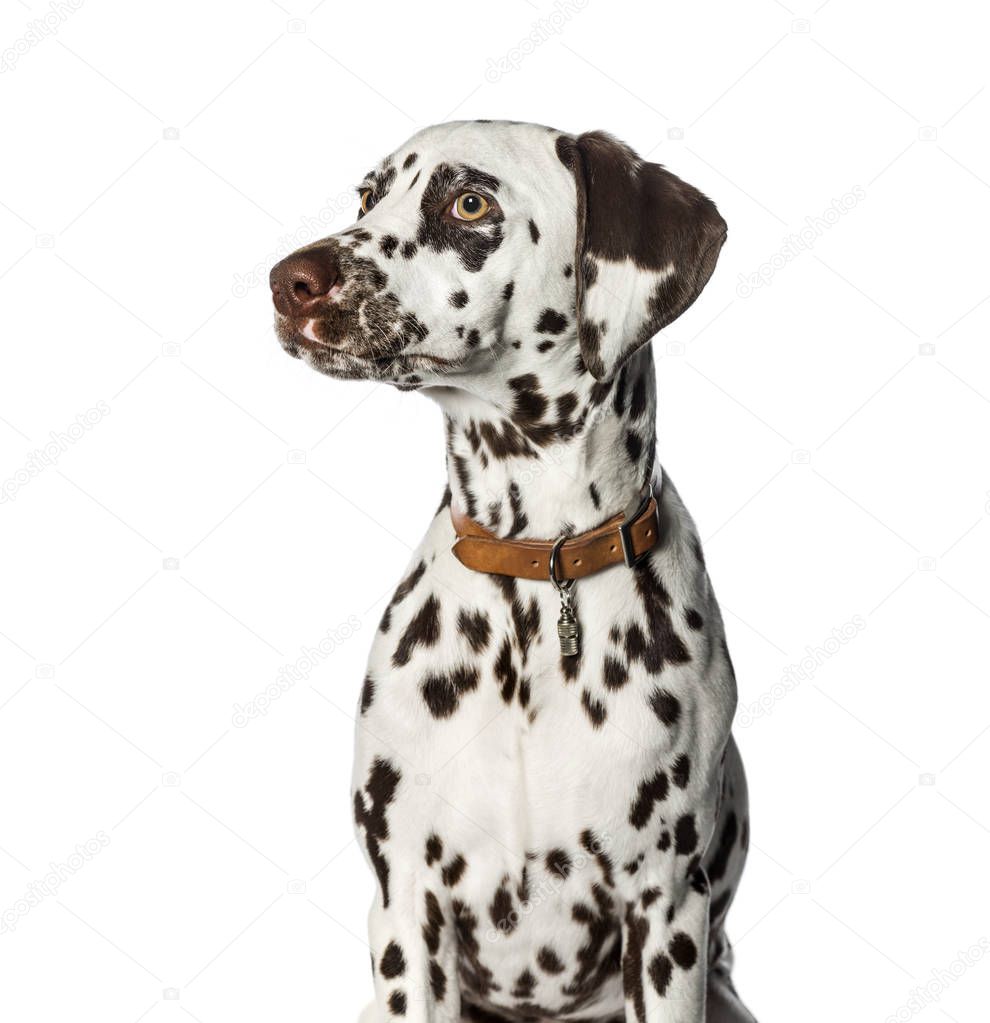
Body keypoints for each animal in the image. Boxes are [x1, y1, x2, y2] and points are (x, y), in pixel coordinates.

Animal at [270, 123, 756, 1023]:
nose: (290, 279)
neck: (538, 578)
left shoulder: (666, 912)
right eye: (369, 195)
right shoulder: (407, 908)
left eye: (470, 202)